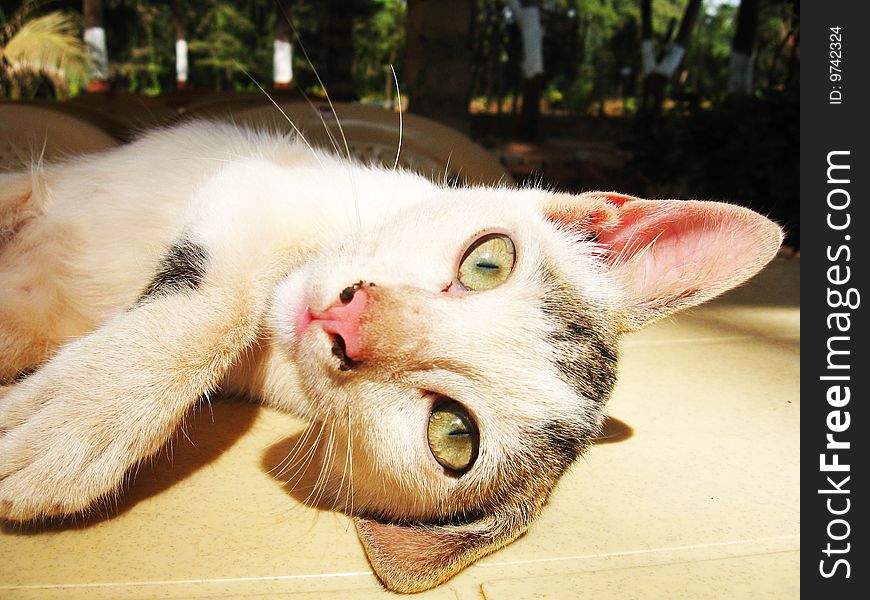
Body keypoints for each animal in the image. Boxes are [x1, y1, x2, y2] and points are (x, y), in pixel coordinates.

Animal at [0, 122, 788, 592]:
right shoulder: (262, 182)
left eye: (453, 434)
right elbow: (219, 292)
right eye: (489, 263)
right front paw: (78, 418)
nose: (349, 319)